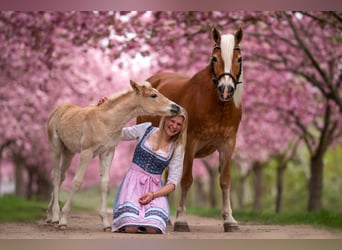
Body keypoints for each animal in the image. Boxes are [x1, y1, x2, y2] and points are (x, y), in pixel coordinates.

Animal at [46, 79, 180, 230]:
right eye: (153, 95)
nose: (176, 108)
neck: (106, 121)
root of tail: (59, 109)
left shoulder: (108, 152)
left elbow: (105, 184)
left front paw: (106, 223)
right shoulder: (87, 152)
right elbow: (76, 182)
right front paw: (63, 219)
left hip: (69, 152)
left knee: (61, 177)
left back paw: (50, 216)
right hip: (55, 148)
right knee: (56, 176)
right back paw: (56, 217)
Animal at [137, 27, 243, 232]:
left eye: (239, 59)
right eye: (214, 58)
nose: (226, 89)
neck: (217, 105)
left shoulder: (228, 144)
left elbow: (225, 180)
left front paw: (229, 220)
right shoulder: (191, 143)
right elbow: (186, 180)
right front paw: (181, 220)